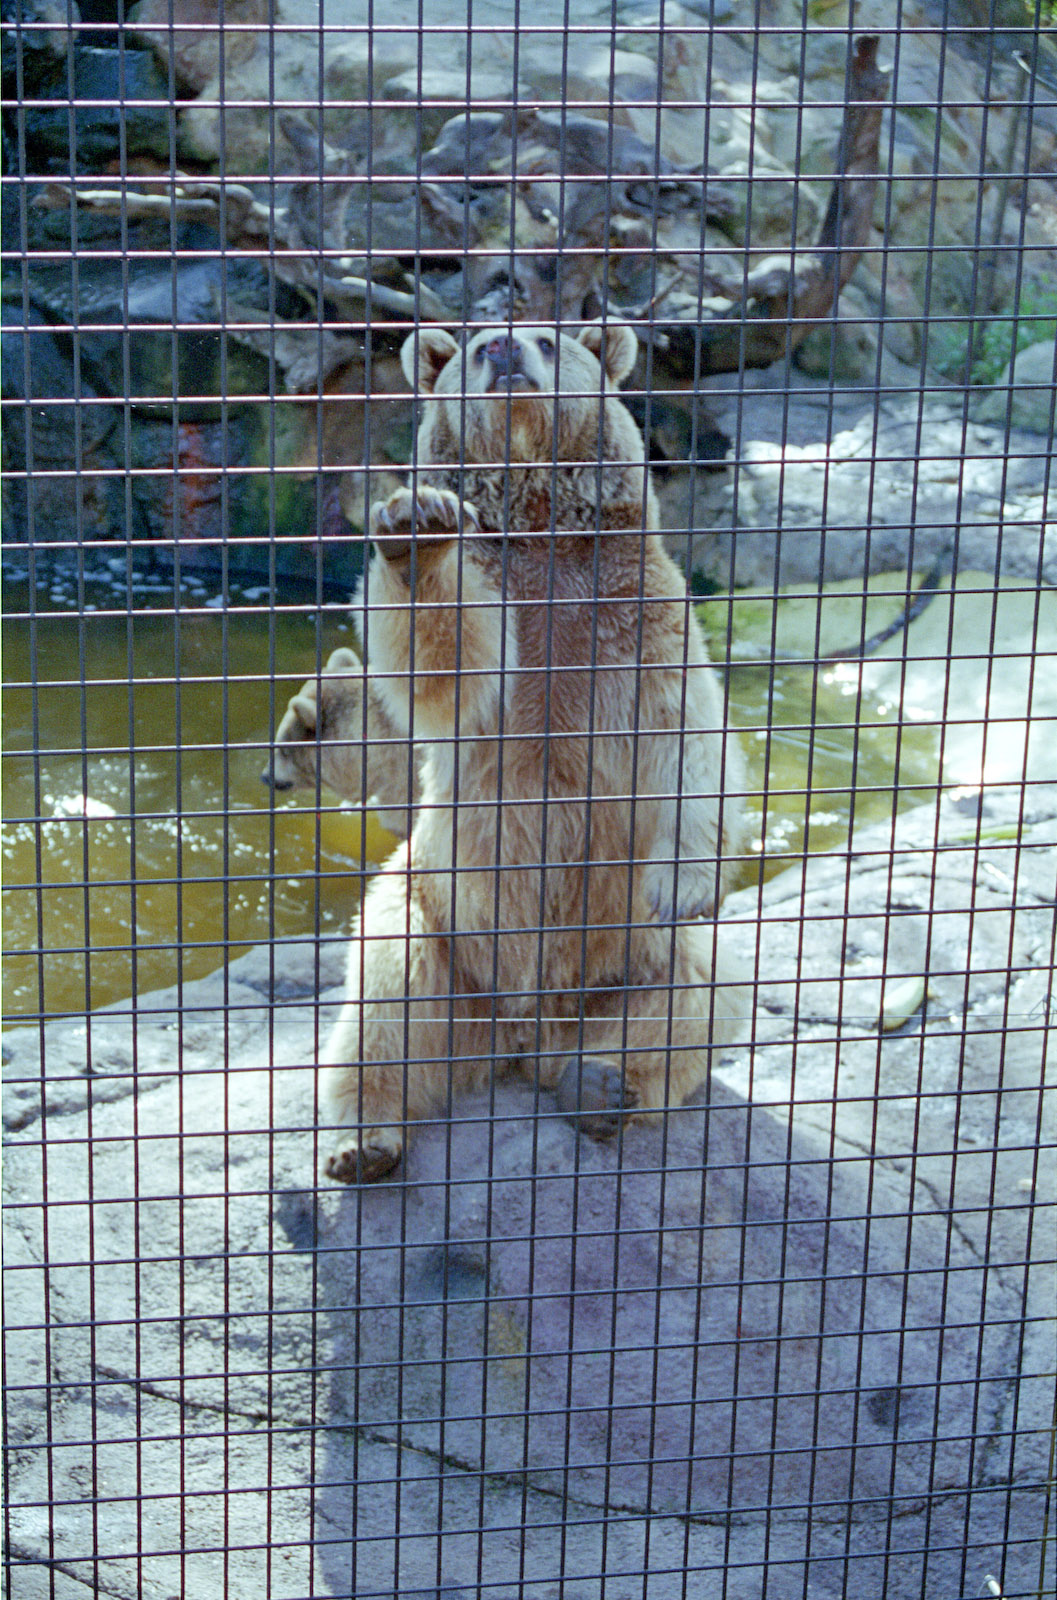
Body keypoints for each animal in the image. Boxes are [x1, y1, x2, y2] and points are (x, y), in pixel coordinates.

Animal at [321, 321, 746, 1183]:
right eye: (475, 345)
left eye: (549, 341)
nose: (505, 348)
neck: (547, 533)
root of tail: (521, 1036)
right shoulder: (506, 624)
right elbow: (444, 662)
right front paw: (416, 532)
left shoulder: (639, 622)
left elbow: (688, 739)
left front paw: (682, 880)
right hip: (435, 912)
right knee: (384, 1001)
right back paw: (364, 1140)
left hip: (631, 952)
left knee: (689, 1001)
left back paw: (599, 1084)